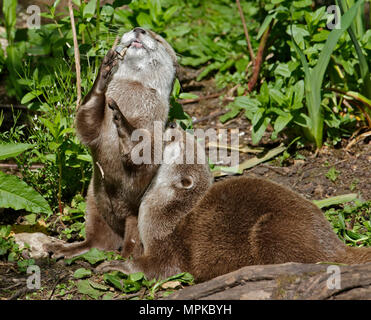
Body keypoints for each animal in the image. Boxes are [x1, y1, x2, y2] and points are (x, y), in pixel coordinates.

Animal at [45, 26, 179, 258]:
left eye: (158, 38)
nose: (139, 29)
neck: (132, 97)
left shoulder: (154, 127)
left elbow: (145, 157)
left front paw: (123, 123)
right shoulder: (95, 130)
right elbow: (85, 125)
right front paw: (104, 72)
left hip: (134, 218)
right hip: (93, 203)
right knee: (96, 242)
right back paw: (62, 248)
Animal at [98, 125, 371, 282]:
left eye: (176, 140)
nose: (172, 127)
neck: (166, 212)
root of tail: (332, 245)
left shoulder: (168, 244)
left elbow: (157, 269)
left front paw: (117, 265)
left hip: (272, 230)